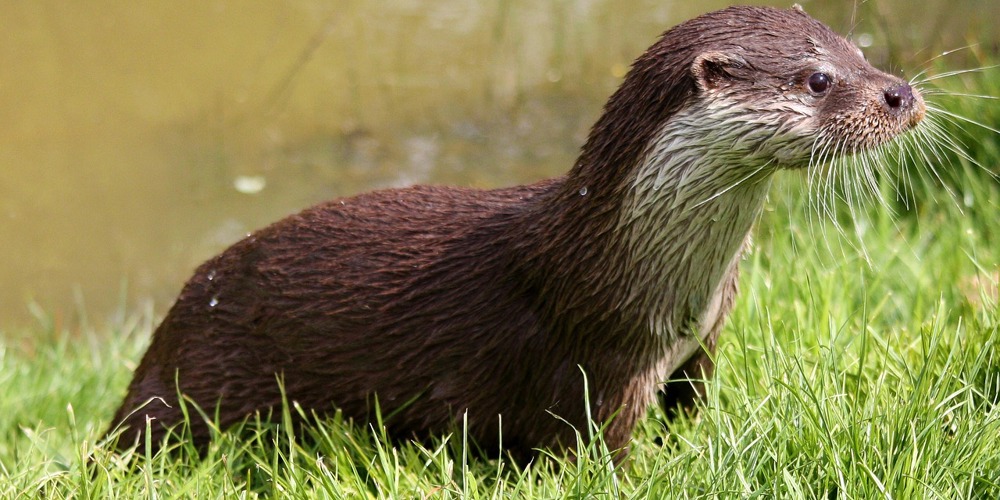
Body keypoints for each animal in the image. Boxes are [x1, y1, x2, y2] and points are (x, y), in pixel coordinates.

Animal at [107, 6, 925, 459]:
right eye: (817, 80)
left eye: (860, 49)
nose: (903, 93)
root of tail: (166, 331)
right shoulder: (599, 370)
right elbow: (598, 455)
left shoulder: (701, 348)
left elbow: (695, 409)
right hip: (196, 384)